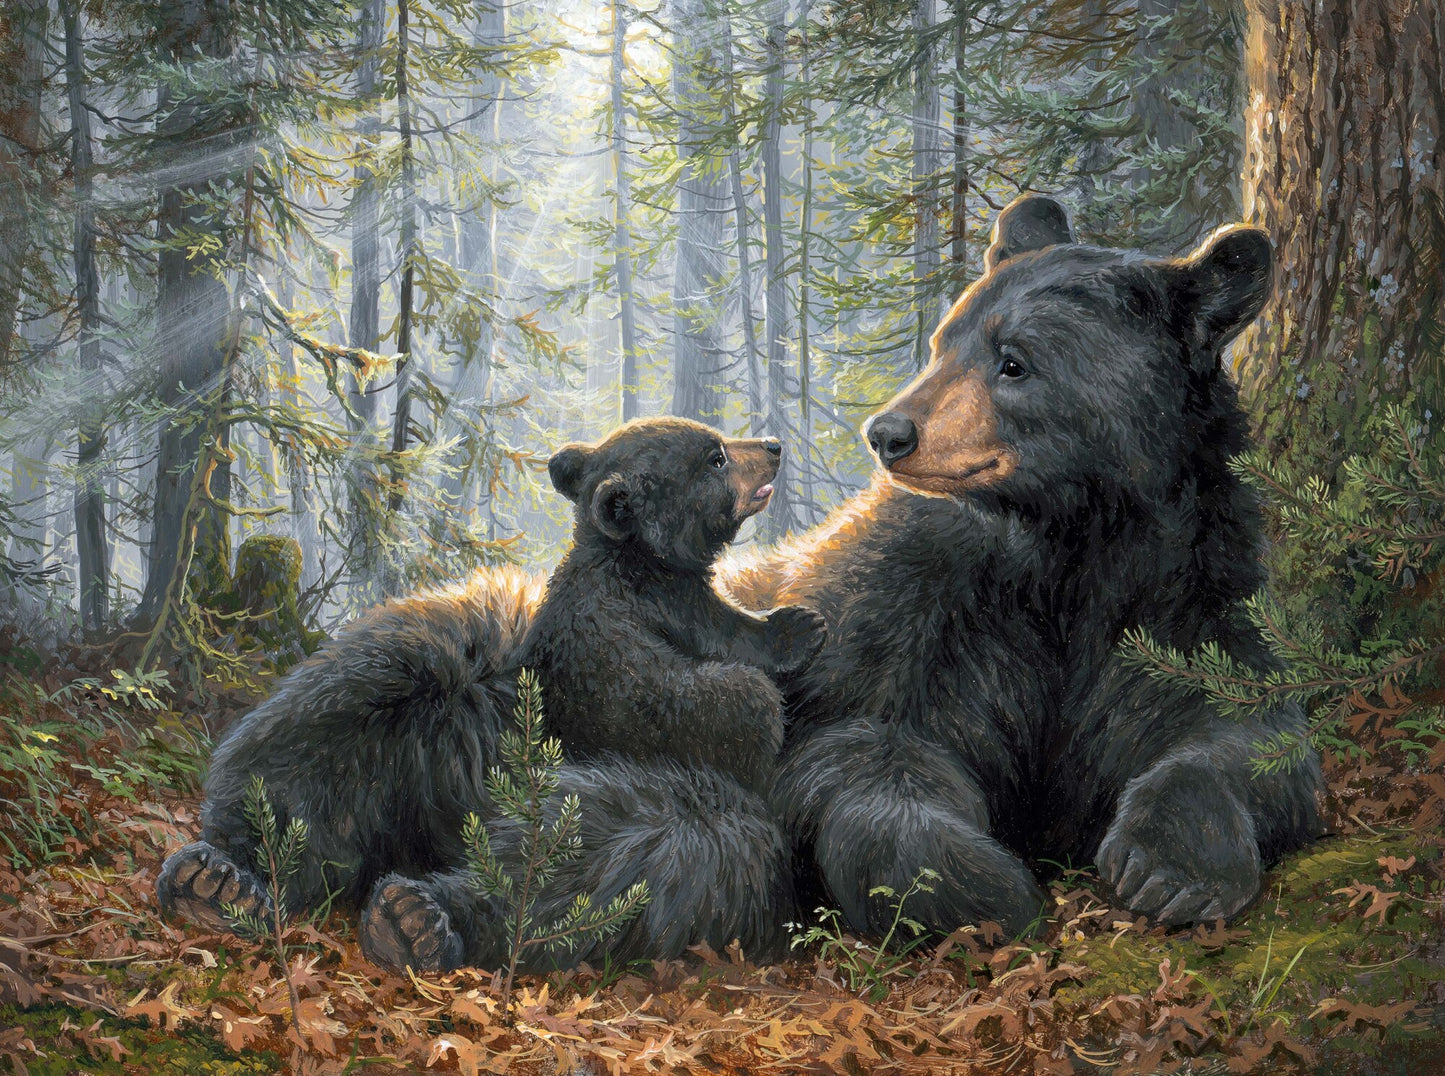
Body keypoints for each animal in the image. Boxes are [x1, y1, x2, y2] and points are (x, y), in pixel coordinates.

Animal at [359, 418, 826, 971]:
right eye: (716, 458)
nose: (773, 447)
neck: (630, 554)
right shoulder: (670, 603)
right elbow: (735, 636)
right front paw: (799, 625)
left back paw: (407, 921)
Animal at [720, 194, 1322, 937]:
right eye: (942, 345)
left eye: (1014, 363)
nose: (888, 433)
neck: (1067, 541)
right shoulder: (916, 617)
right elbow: (863, 747)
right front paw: (979, 885)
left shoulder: (1183, 594)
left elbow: (1242, 731)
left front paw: (1170, 870)